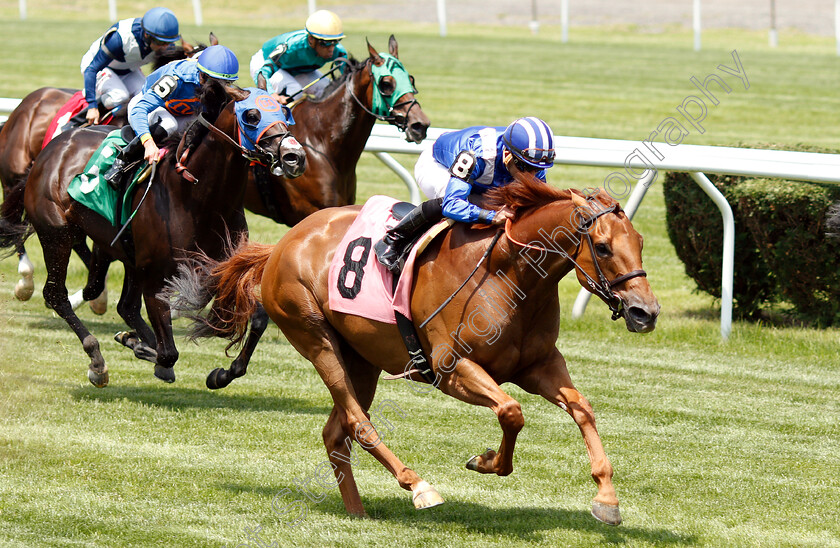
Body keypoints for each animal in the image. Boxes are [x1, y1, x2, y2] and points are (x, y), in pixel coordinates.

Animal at [3, 82, 306, 390]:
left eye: (284, 112)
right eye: (252, 116)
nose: (295, 156)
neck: (198, 197)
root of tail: (50, 150)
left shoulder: (217, 268)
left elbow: (255, 318)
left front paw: (222, 373)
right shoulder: (156, 278)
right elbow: (169, 352)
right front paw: (141, 348)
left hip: (121, 252)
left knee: (118, 302)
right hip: (57, 235)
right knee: (56, 294)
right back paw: (97, 360)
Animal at [167, 176, 660, 528]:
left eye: (639, 242)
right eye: (602, 246)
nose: (646, 312)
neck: (509, 273)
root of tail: (282, 244)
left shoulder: (538, 365)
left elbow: (581, 408)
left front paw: (607, 499)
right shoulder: (451, 368)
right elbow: (511, 411)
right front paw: (486, 461)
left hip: (361, 359)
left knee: (335, 432)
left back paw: (357, 513)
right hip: (315, 337)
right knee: (358, 424)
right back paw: (419, 487)